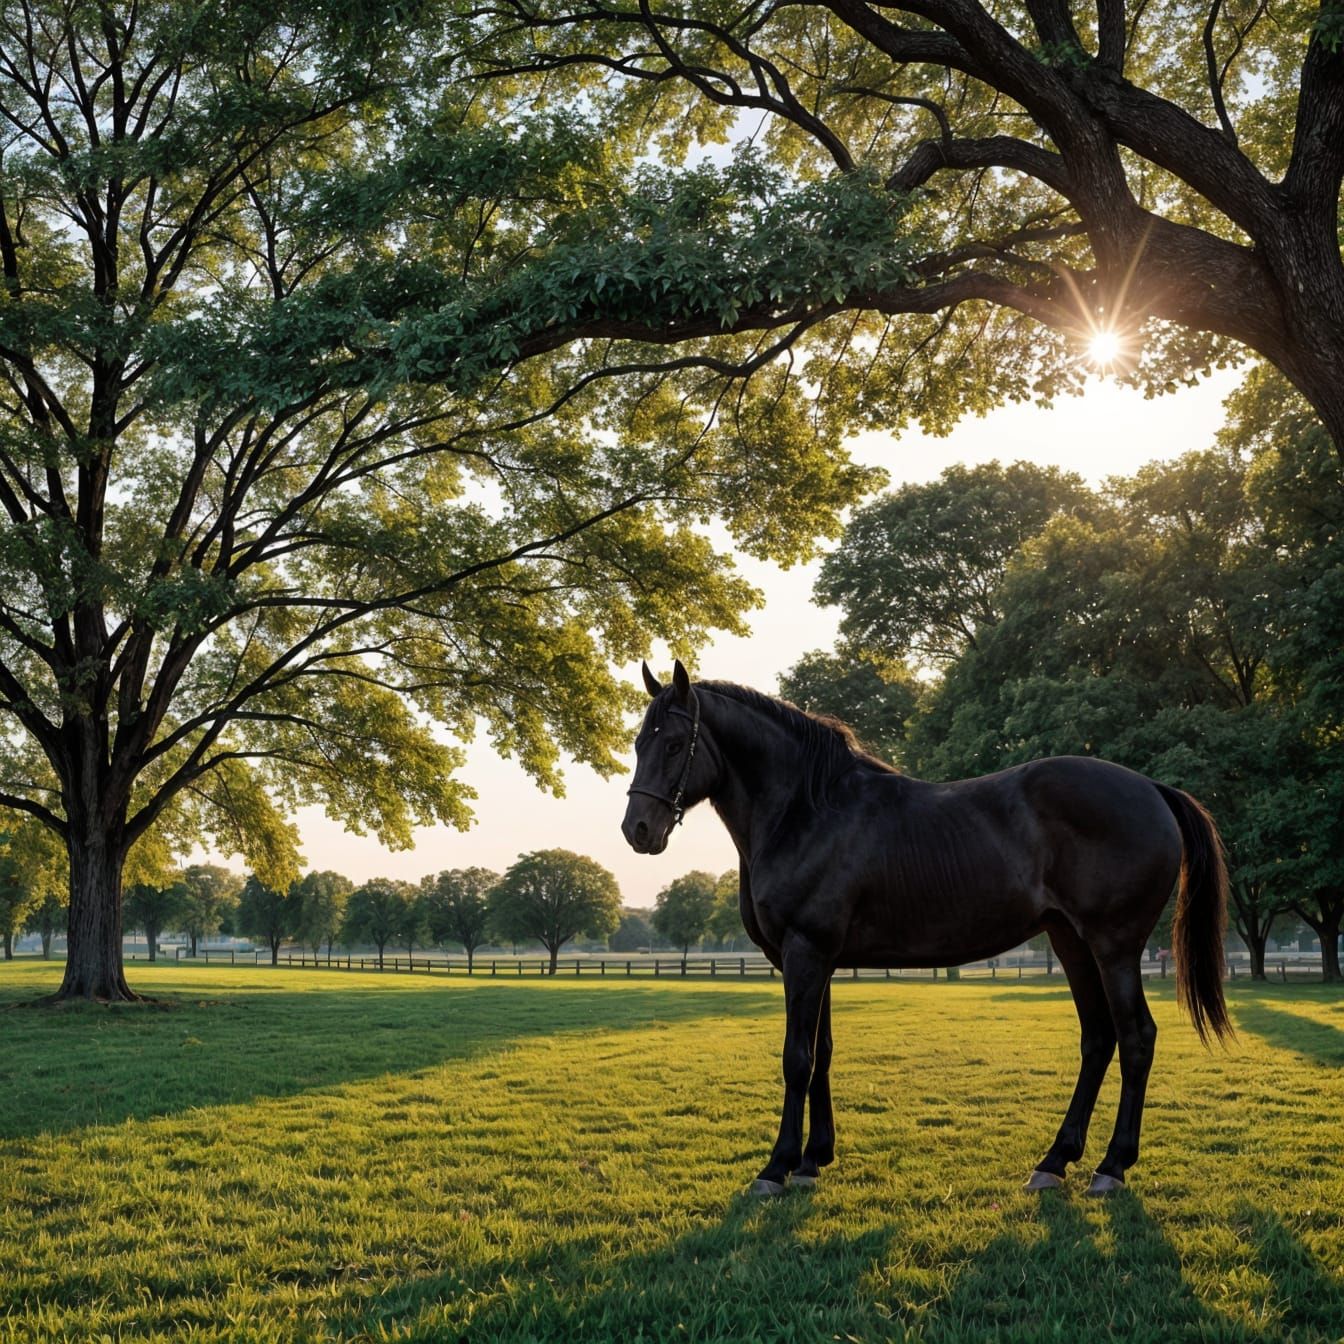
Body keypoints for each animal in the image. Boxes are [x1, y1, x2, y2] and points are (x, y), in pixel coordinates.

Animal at [621, 660, 1231, 1197]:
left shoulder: (805, 953)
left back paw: (1113, 1166)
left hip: (1115, 947)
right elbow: (823, 1053)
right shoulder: (818, 959)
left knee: (1136, 1038)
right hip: (1071, 943)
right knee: (1099, 1038)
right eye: (638, 743)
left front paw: (776, 1168)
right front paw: (814, 1160)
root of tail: (1153, 788)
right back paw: (1055, 1161)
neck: (808, 811)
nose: (637, 830)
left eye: (674, 744)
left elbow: (797, 1058)